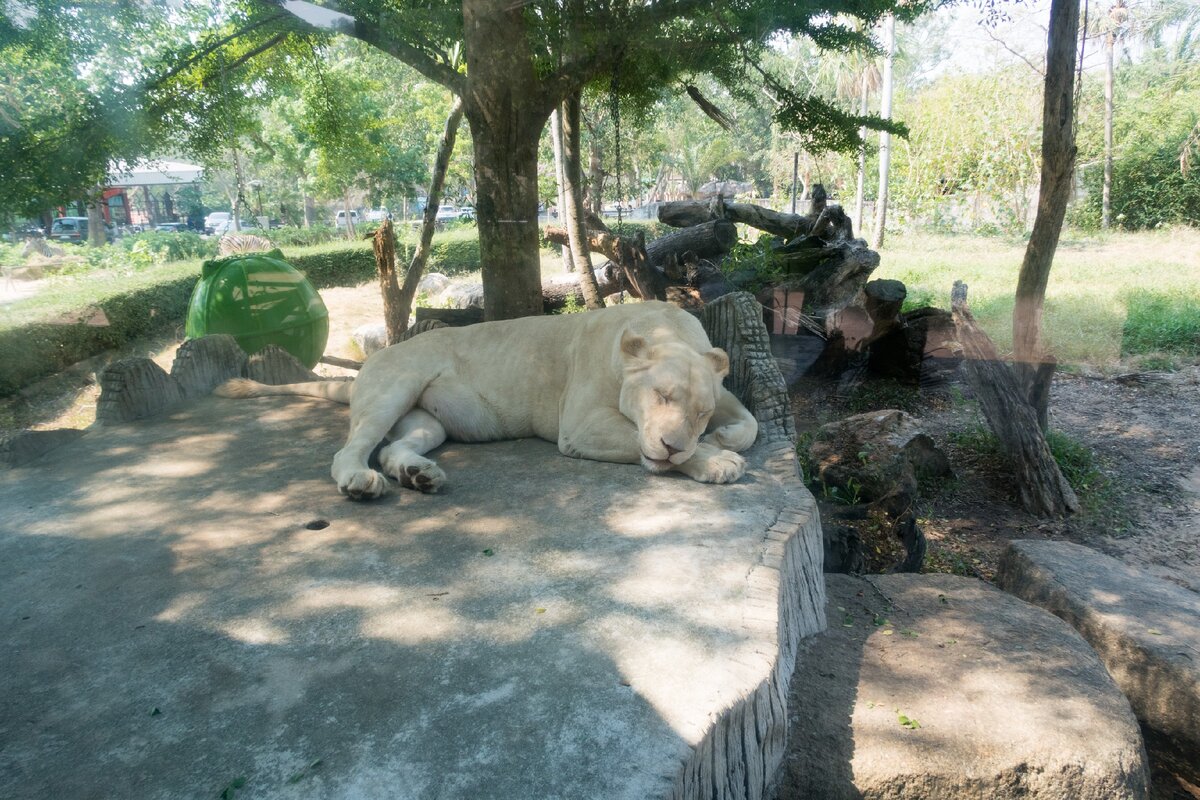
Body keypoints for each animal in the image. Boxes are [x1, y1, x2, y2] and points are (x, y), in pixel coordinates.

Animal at [216, 299, 758, 501]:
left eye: (701, 412)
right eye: (661, 395)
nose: (673, 445)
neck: (666, 327)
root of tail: (372, 360)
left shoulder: (718, 387)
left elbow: (749, 421)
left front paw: (726, 437)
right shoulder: (579, 426)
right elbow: (654, 448)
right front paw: (715, 460)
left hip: (427, 421)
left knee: (394, 448)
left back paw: (420, 475)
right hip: (394, 387)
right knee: (349, 450)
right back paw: (360, 481)